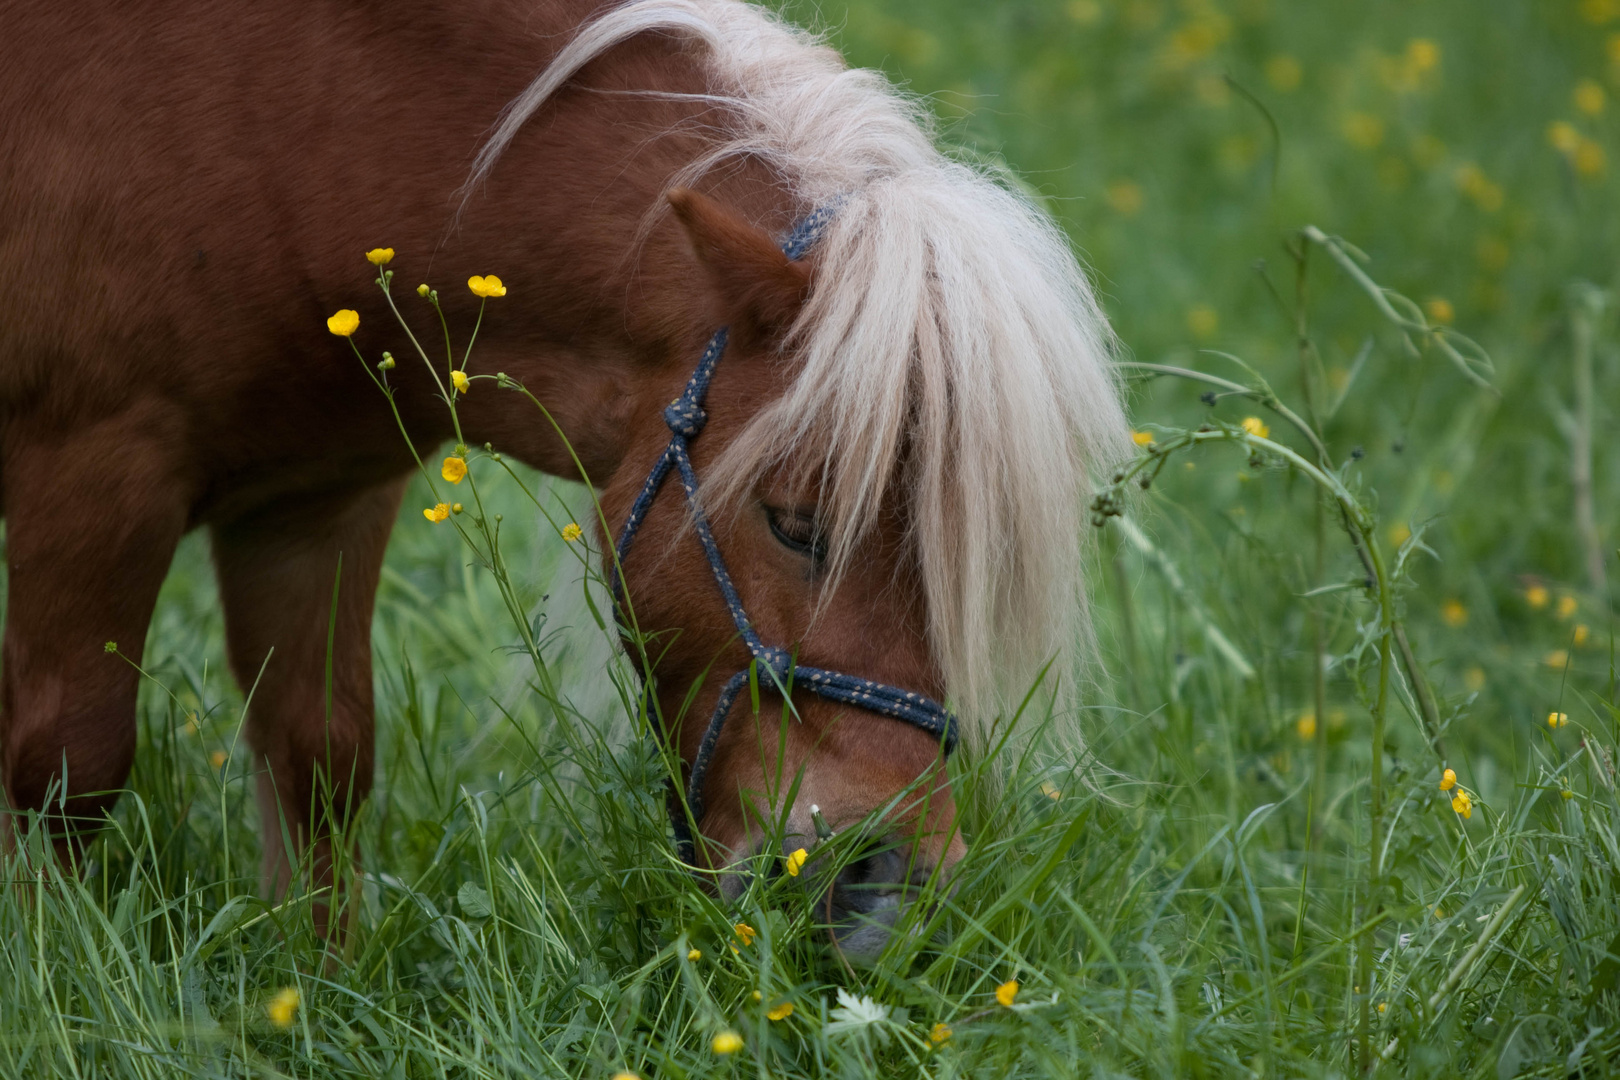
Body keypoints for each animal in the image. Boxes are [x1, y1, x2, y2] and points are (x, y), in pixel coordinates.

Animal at [0, 0, 1127, 952]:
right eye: (796, 525)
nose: (886, 896)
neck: (288, 120)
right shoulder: (96, 470)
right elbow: (68, 761)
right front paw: (57, 979)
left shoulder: (314, 505)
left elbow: (320, 755)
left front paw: (316, 986)